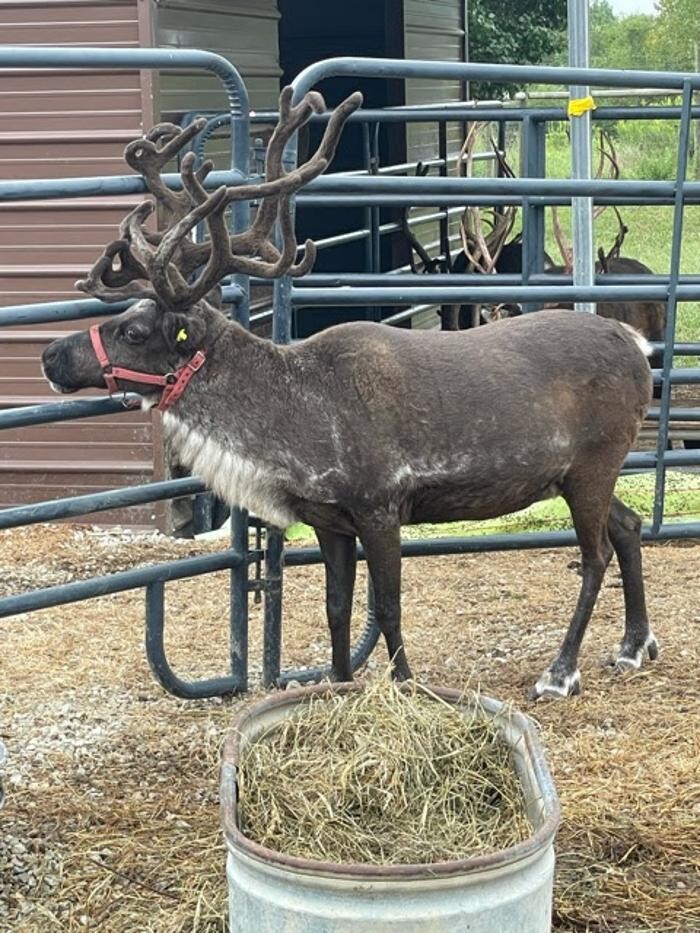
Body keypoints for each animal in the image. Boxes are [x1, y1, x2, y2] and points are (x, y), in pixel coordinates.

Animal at [42, 87, 658, 700]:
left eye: (135, 331)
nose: (50, 357)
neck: (293, 415)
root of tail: (636, 344)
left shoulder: (380, 507)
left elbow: (387, 608)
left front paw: (407, 688)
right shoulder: (329, 519)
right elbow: (336, 608)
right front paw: (338, 686)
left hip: (594, 465)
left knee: (596, 553)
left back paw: (560, 671)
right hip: (576, 473)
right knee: (628, 528)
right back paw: (634, 645)